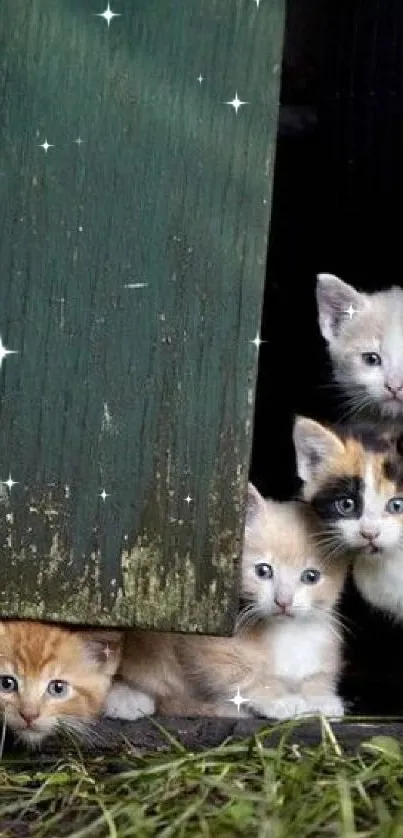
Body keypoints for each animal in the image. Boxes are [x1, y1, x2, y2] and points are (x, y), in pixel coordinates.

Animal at [105, 488, 348, 724]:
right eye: (263, 571)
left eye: (311, 576)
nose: (283, 601)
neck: (289, 632)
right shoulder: (205, 644)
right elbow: (244, 676)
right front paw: (281, 700)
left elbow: (316, 675)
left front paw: (321, 698)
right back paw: (127, 700)